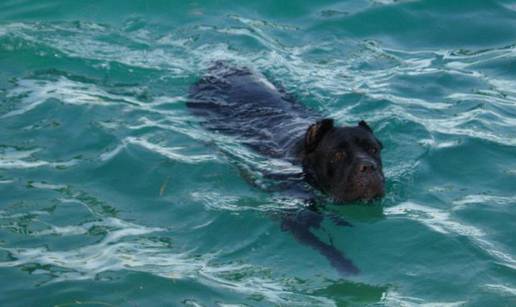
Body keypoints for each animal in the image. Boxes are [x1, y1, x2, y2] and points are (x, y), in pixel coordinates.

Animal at [187, 63, 384, 276]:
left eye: (374, 149)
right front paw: (346, 265)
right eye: (338, 155)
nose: (368, 166)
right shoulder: (295, 222)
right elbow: (325, 246)